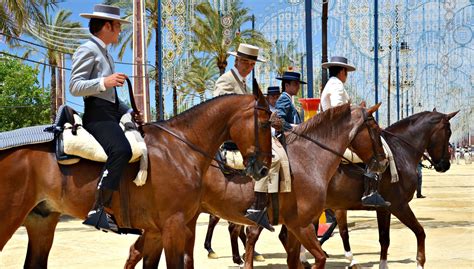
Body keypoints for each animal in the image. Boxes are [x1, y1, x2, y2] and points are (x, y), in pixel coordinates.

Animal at [0, 92, 274, 268]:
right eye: (264, 123)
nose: (264, 169)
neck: (181, 149)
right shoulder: (174, 228)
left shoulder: (155, 232)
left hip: (42, 221)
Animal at [121, 103, 388, 268]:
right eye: (375, 128)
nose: (384, 161)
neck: (309, 158)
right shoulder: (301, 225)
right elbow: (320, 257)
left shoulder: (293, 227)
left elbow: (296, 260)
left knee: (137, 251)